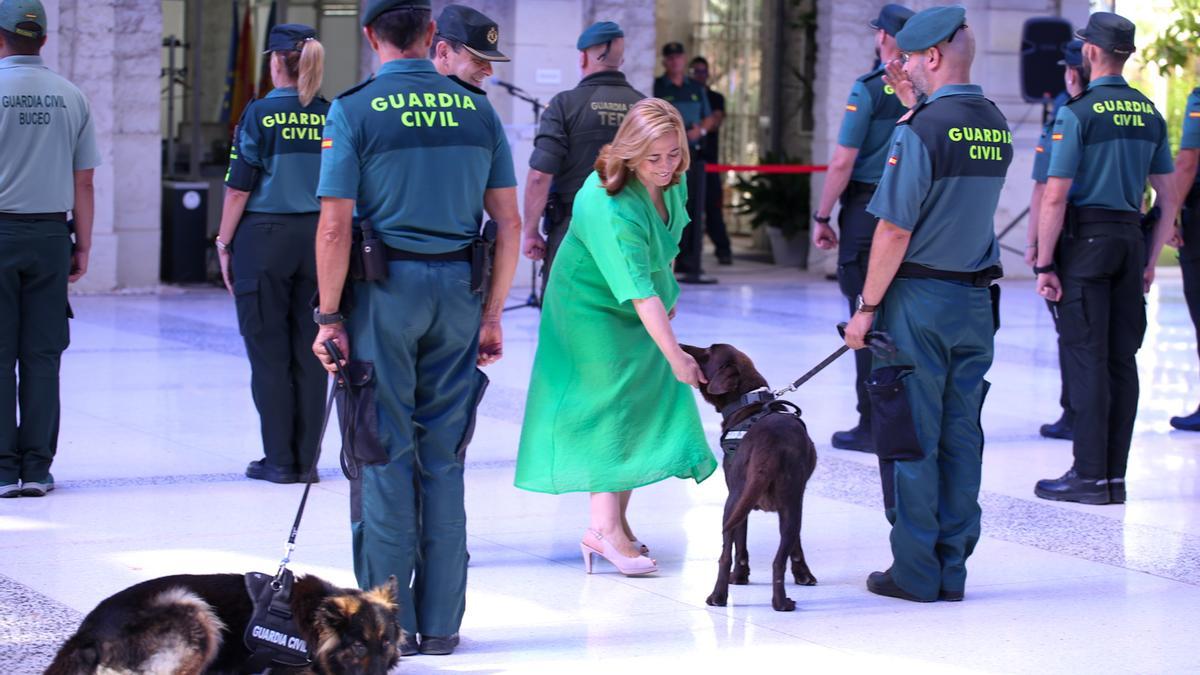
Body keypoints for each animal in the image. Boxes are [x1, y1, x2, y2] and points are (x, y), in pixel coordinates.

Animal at [681, 341, 820, 610]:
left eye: (708, 352)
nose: (681, 345)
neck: (747, 404)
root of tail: (769, 445)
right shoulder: (796, 500)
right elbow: (795, 545)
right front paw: (803, 574)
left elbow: (740, 545)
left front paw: (740, 577)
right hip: (787, 506)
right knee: (778, 560)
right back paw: (780, 602)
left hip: (734, 502)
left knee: (725, 556)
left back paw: (719, 597)